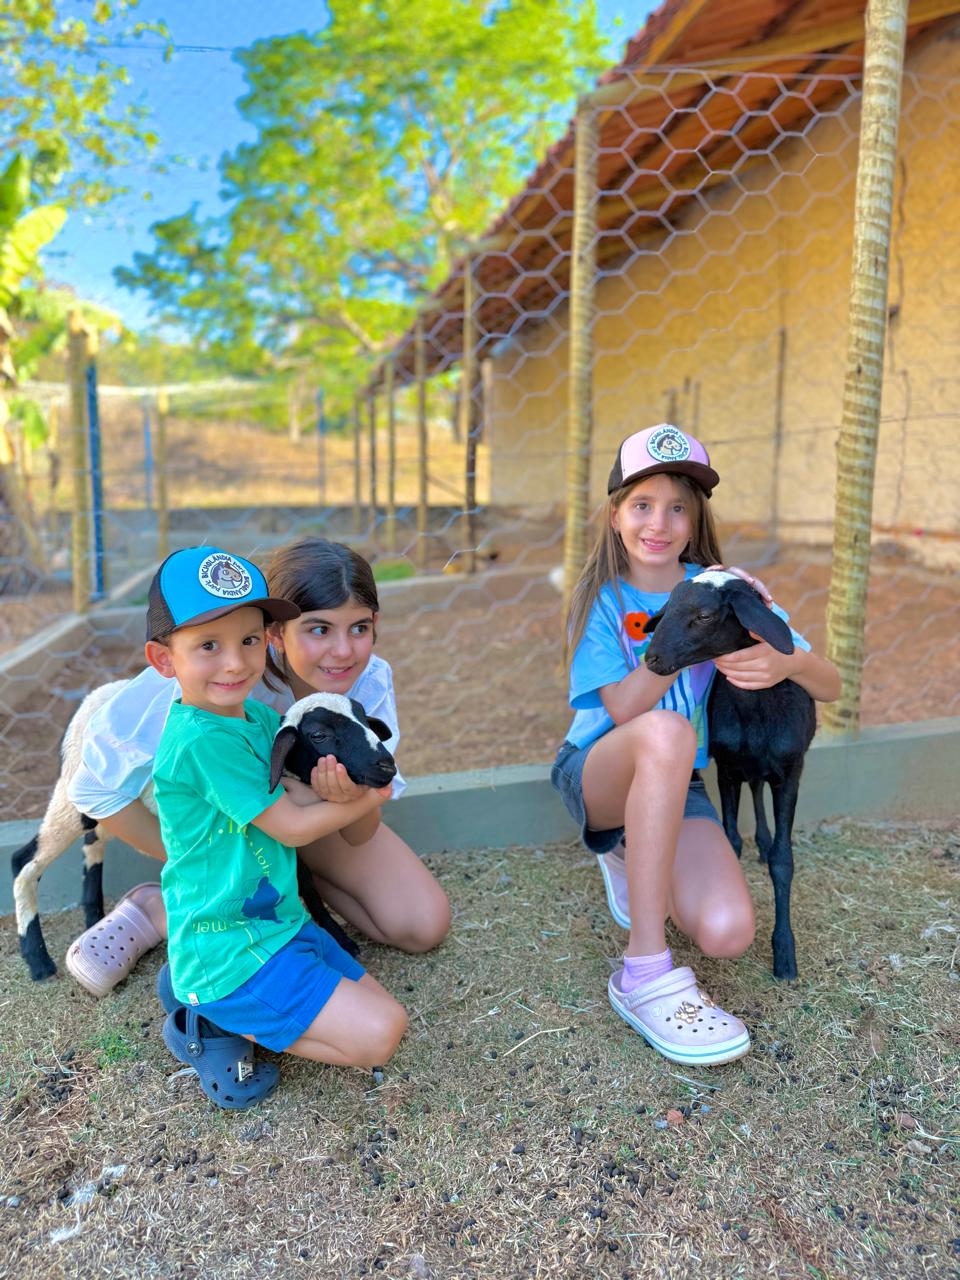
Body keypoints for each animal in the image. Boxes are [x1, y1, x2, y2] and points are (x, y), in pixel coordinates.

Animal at [12, 688, 398, 981]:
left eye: (366, 720)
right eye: (319, 734)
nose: (386, 766)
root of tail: (87, 701)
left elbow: (308, 884)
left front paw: (335, 935)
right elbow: (301, 882)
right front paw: (336, 939)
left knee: (93, 845)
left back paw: (92, 917)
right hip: (74, 797)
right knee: (24, 861)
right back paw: (39, 962)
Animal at [642, 570, 816, 981]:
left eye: (704, 615)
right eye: (668, 607)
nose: (652, 658)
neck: (755, 713)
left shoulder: (790, 773)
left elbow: (784, 861)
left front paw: (785, 955)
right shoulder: (727, 768)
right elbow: (731, 841)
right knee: (755, 786)